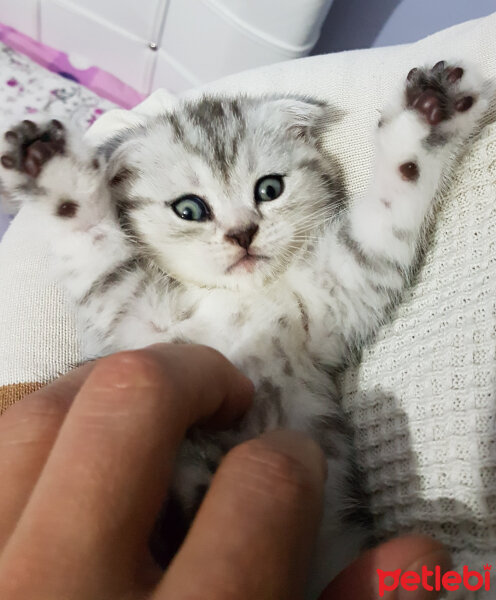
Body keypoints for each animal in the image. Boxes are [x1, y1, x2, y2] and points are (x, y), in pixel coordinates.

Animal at [0, 59, 488, 596]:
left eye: (269, 189)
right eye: (189, 209)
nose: (242, 233)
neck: (237, 302)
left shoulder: (338, 292)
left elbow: (384, 219)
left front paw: (430, 114)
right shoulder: (130, 316)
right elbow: (95, 247)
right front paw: (50, 168)